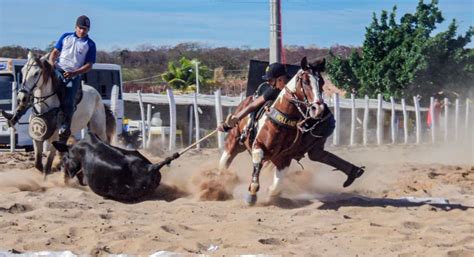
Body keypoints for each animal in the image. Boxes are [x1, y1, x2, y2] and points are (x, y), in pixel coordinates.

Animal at [220, 57, 328, 205]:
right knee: (224, 162)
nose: (318, 109)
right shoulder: (258, 146)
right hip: (233, 142)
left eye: (322, 82)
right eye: (306, 81)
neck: (282, 121)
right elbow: (256, 174)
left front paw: (271, 192)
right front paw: (251, 195)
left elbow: (277, 185)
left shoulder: (284, 158)